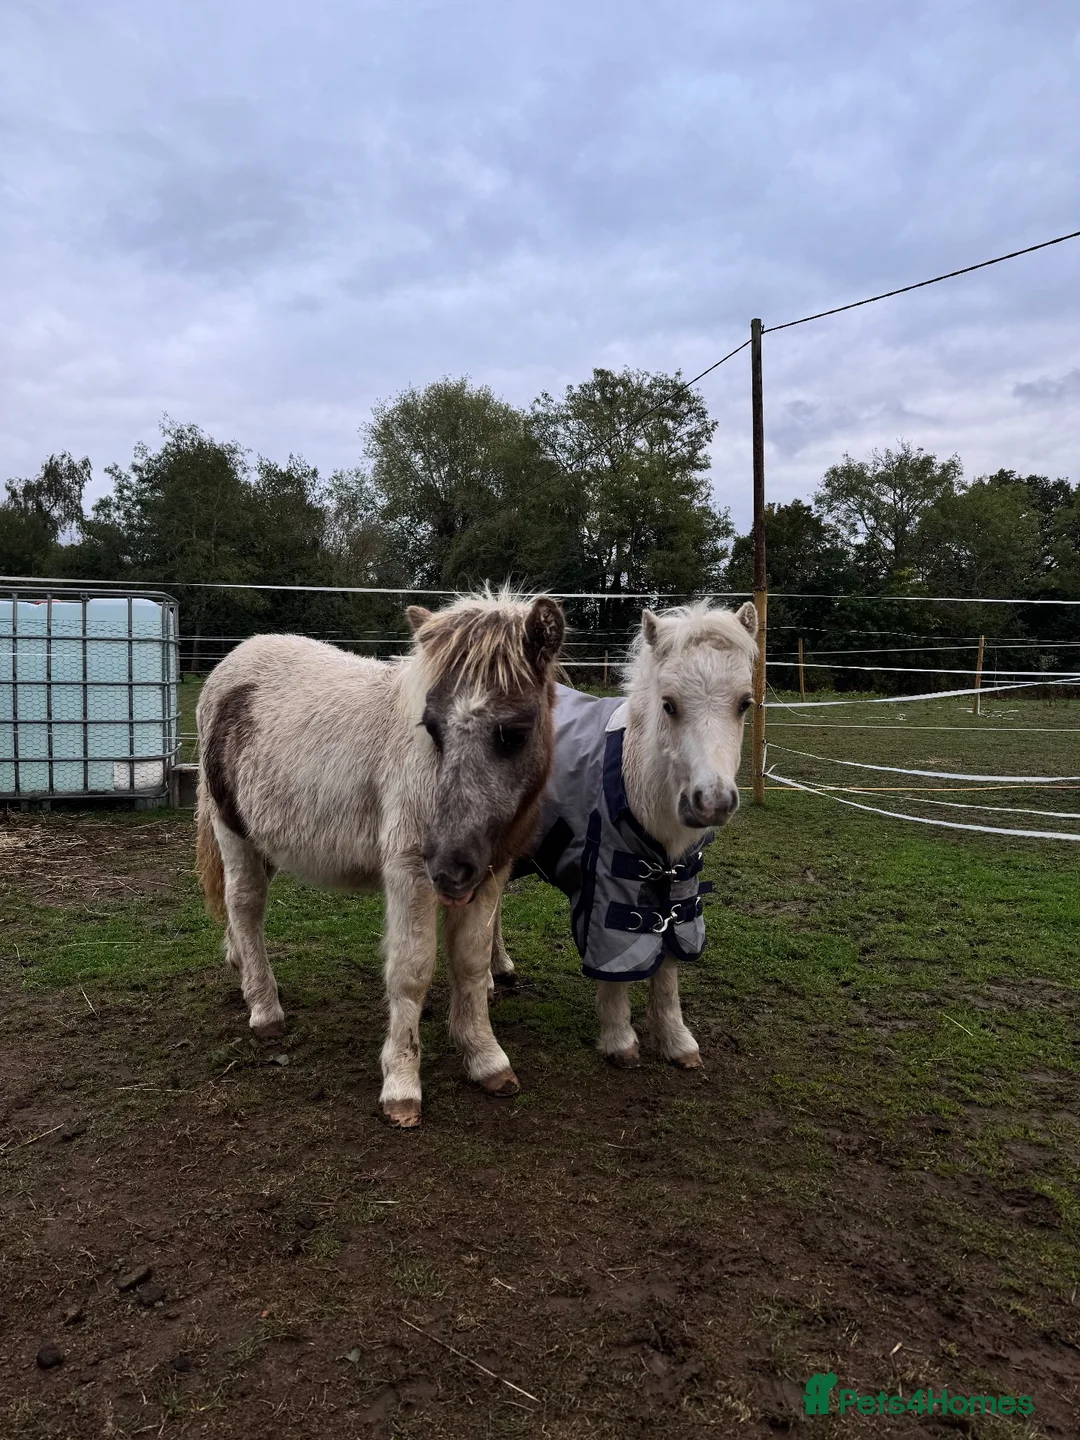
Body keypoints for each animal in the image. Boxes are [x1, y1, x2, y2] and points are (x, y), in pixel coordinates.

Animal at [194, 590, 566, 1127]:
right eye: (431, 727)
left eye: (514, 733)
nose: (448, 866)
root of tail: (231, 664)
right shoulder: (411, 871)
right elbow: (411, 971)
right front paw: (402, 1084)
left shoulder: (490, 873)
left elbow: (473, 965)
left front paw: (486, 1058)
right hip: (234, 832)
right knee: (244, 904)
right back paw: (265, 1009)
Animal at [492, 600, 758, 1067]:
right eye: (669, 705)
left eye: (744, 703)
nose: (712, 801)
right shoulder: (607, 882)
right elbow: (614, 961)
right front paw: (619, 1039)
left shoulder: (678, 880)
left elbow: (668, 962)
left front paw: (676, 1040)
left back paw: (500, 968)